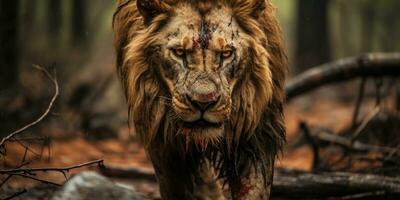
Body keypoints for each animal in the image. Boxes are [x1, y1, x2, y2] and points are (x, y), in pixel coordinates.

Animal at [114, 0, 286, 198]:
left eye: (226, 53)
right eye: (179, 52)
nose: (204, 102)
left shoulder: (256, 134)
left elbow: (253, 187)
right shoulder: (164, 143)